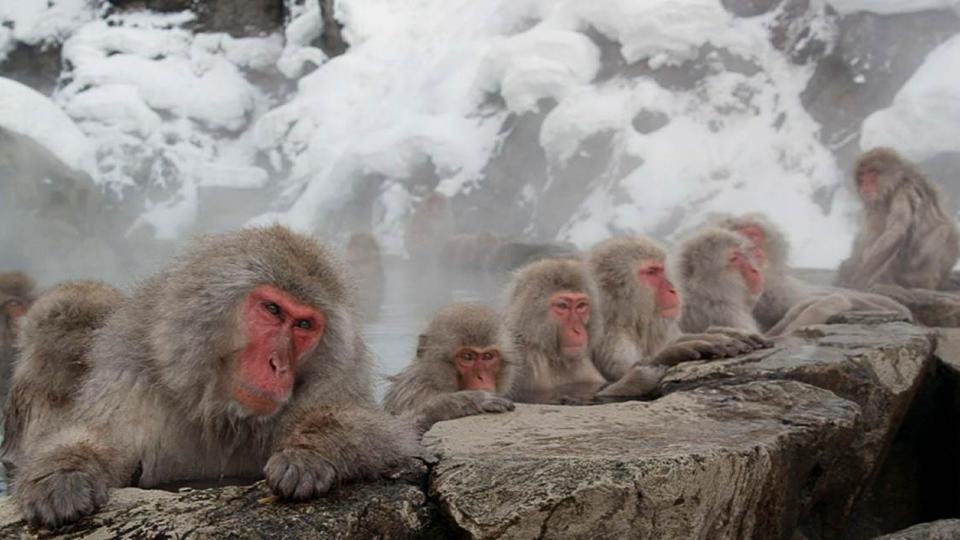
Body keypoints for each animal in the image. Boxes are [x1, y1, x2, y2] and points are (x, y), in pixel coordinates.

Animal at [584, 236, 772, 392]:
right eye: (651, 272)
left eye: (660, 270)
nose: (672, 289)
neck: (623, 315)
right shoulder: (612, 340)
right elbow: (622, 373)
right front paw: (674, 353)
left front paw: (721, 335)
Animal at [836, 148, 956, 292]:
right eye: (862, 174)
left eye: (872, 172)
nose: (865, 183)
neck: (894, 184)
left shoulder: (902, 192)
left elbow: (896, 232)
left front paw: (855, 279)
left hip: (916, 272)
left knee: (944, 230)